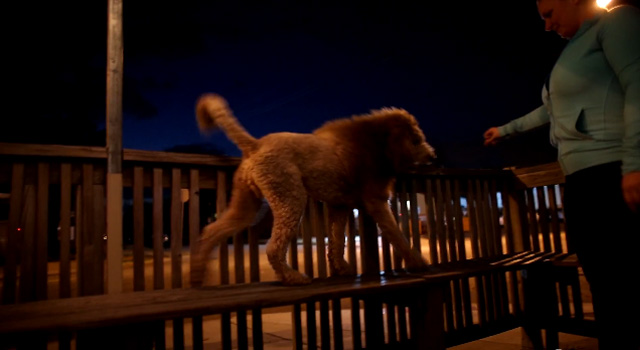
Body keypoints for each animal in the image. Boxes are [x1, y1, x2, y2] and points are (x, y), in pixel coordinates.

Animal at [192, 94, 438, 286]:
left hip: (247, 204)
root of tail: (255, 144)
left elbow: (337, 242)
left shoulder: (340, 206)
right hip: (290, 197)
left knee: (212, 230)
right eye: (416, 140)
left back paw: (198, 274)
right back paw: (293, 278)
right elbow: (397, 235)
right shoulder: (376, 200)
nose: (433, 156)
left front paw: (341, 268)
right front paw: (418, 263)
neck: (376, 143)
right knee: (273, 248)